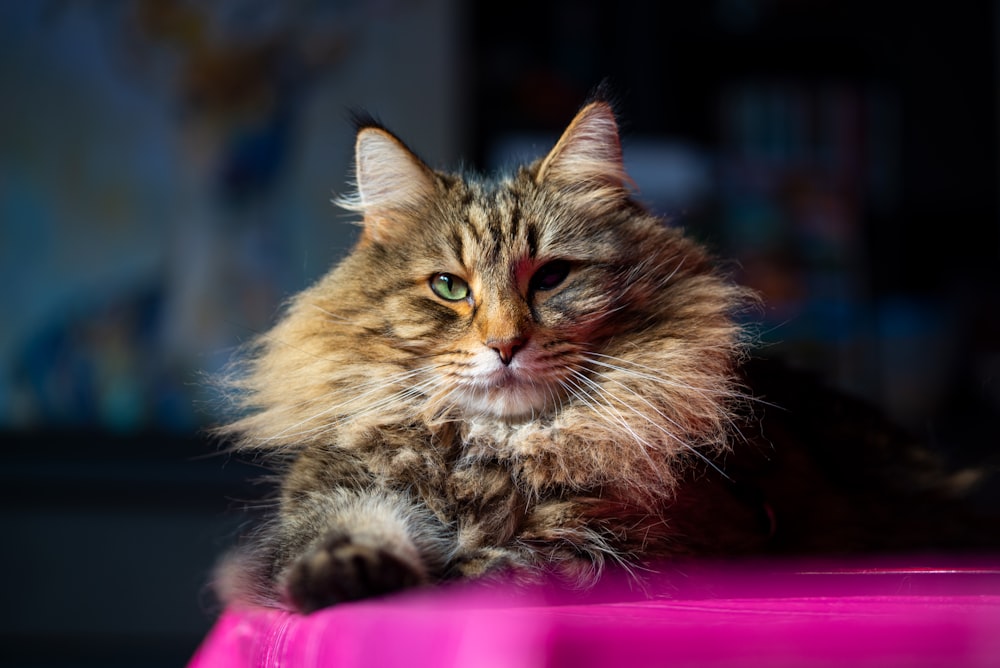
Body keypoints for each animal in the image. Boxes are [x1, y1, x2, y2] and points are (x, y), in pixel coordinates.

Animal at [215, 95, 996, 616]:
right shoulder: (327, 498)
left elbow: (516, 561)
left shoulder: (629, 543)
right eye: (450, 287)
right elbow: (347, 531)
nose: (504, 344)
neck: (498, 449)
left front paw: (458, 569)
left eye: (552, 277)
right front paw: (341, 577)